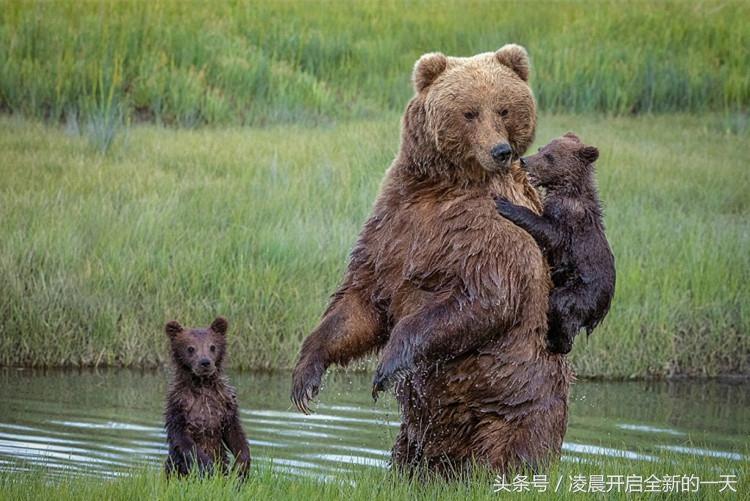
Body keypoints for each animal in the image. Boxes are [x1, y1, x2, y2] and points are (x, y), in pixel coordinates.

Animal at [292, 43, 568, 472]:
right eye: (470, 111)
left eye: (504, 109)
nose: (500, 151)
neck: (443, 185)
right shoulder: (394, 223)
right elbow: (362, 301)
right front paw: (306, 376)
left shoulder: (493, 229)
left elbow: (485, 298)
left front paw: (387, 365)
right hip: (419, 433)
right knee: (413, 452)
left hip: (516, 401)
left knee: (512, 447)